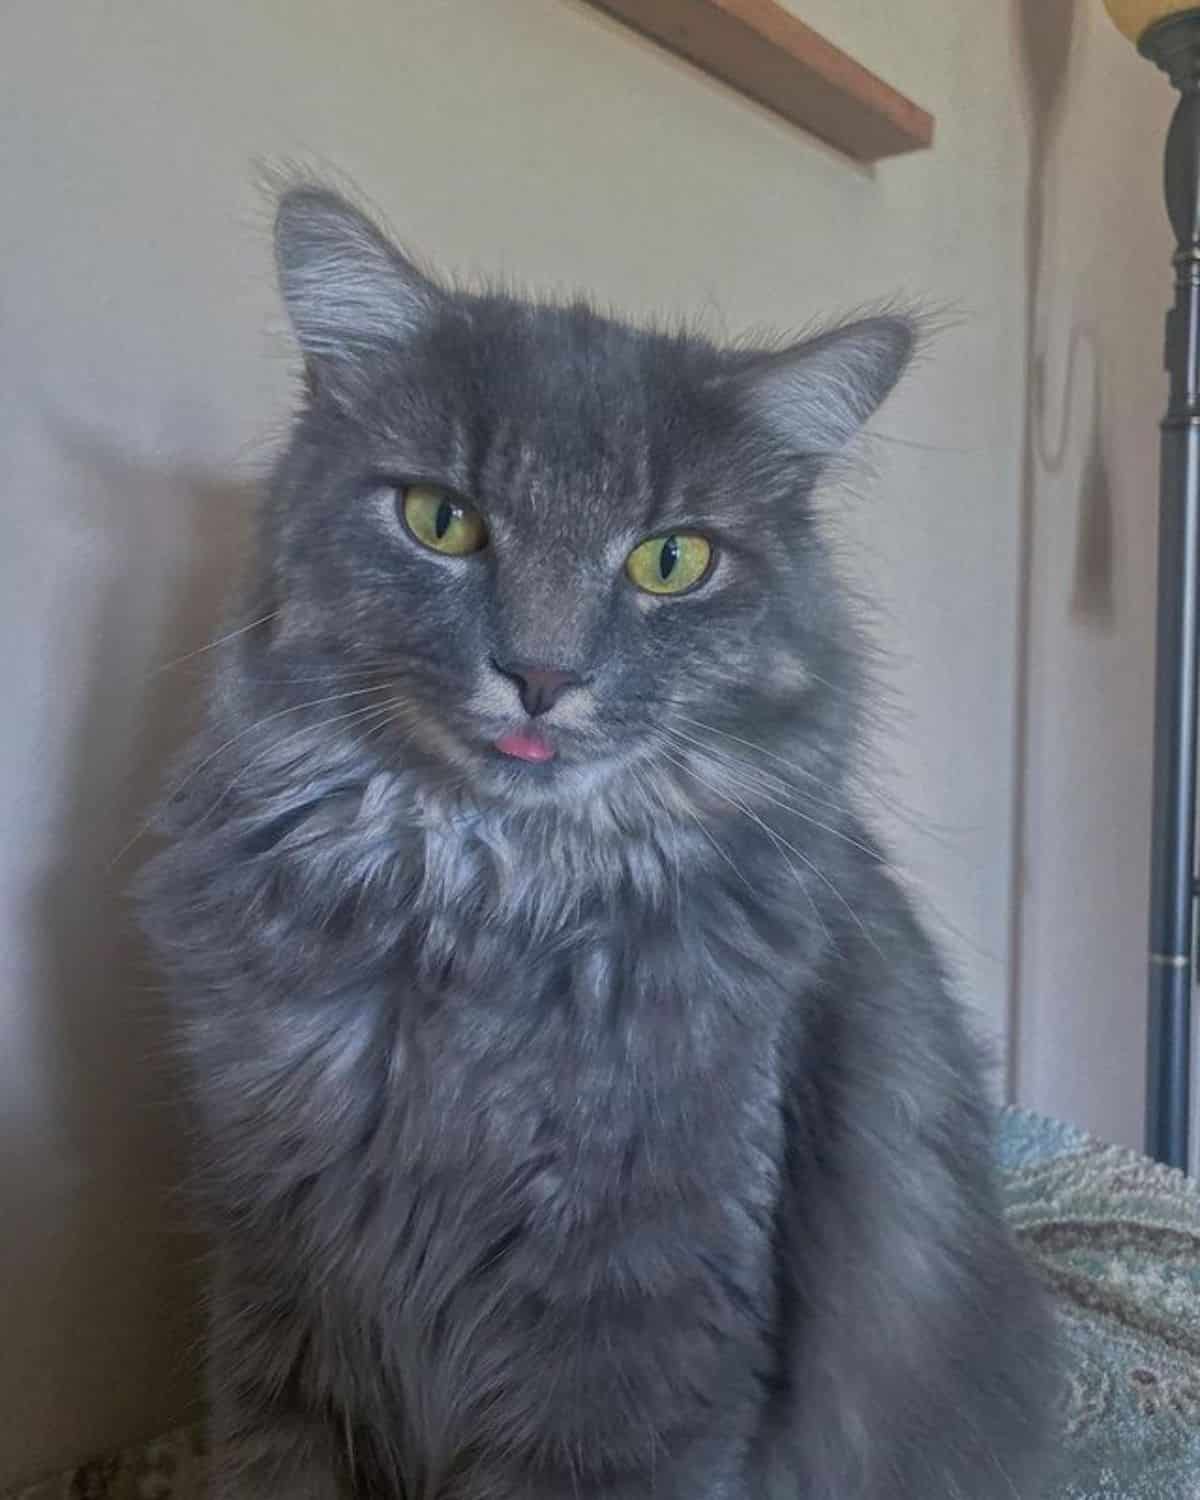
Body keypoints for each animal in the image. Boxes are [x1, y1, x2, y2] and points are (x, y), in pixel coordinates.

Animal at [143, 187, 1062, 1500]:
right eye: (442, 520)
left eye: (670, 560)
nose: (541, 674)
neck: (482, 908)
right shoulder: (280, 1279)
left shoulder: (638, 1320)